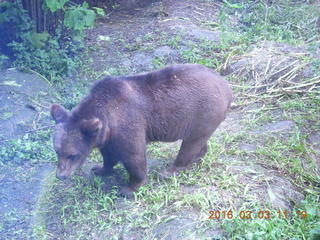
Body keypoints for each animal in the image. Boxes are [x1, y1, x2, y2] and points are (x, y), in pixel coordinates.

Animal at [51, 63, 234, 197]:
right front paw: (99, 169)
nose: (61, 175)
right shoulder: (108, 135)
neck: (105, 116)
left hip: (203, 112)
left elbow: (134, 156)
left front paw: (129, 188)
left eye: (73, 154)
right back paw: (198, 156)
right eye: (57, 151)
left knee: (190, 145)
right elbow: (108, 155)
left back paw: (168, 171)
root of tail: (226, 86)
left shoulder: (127, 122)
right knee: (198, 141)